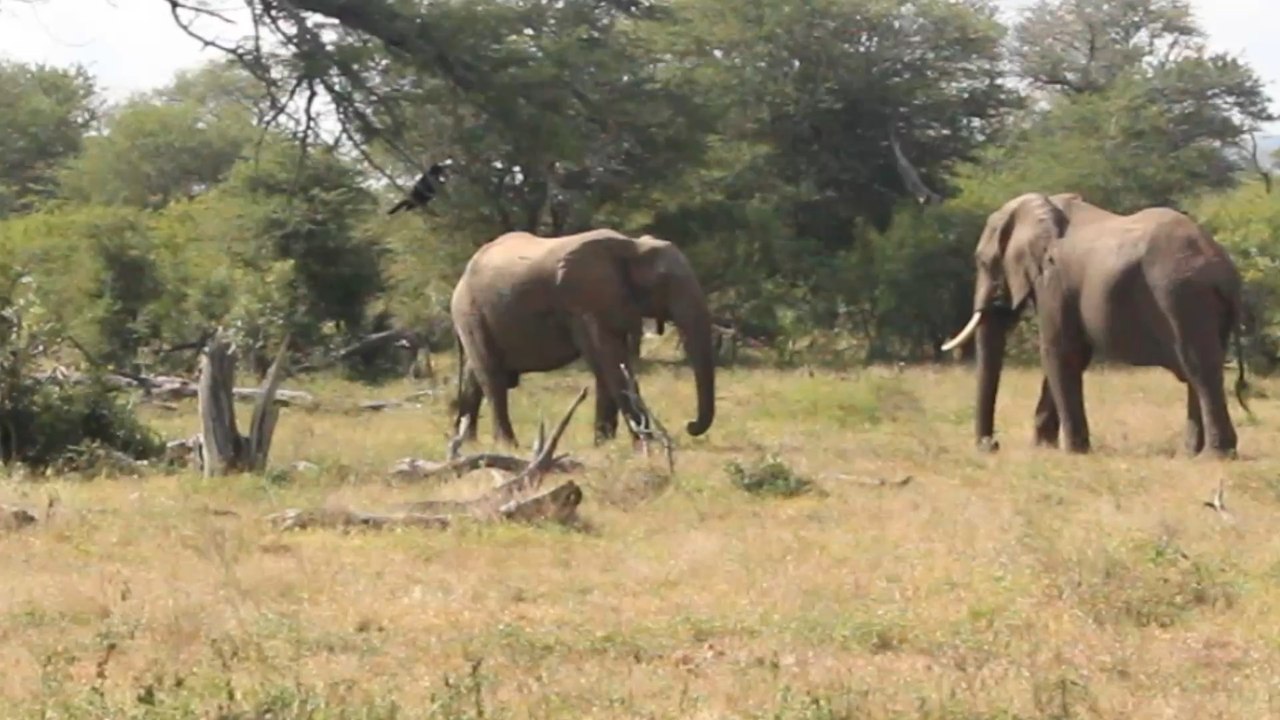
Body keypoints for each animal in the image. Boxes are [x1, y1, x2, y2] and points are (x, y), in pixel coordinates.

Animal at [449, 228, 716, 446]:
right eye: (665, 281)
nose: (690, 425)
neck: (632, 246)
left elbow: (610, 366)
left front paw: (604, 444)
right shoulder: (584, 303)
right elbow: (609, 361)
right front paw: (647, 445)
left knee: (475, 376)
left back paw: (469, 443)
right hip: (470, 313)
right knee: (492, 376)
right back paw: (507, 446)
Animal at [939, 192, 1250, 457]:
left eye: (983, 262)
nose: (991, 446)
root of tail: (1225, 270)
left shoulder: (1053, 280)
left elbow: (1058, 352)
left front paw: (1072, 452)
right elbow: (1074, 356)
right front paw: (1042, 448)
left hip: (1182, 297)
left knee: (1199, 368)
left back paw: (1214, 456)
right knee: (1198, 370)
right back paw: (1190, 454)